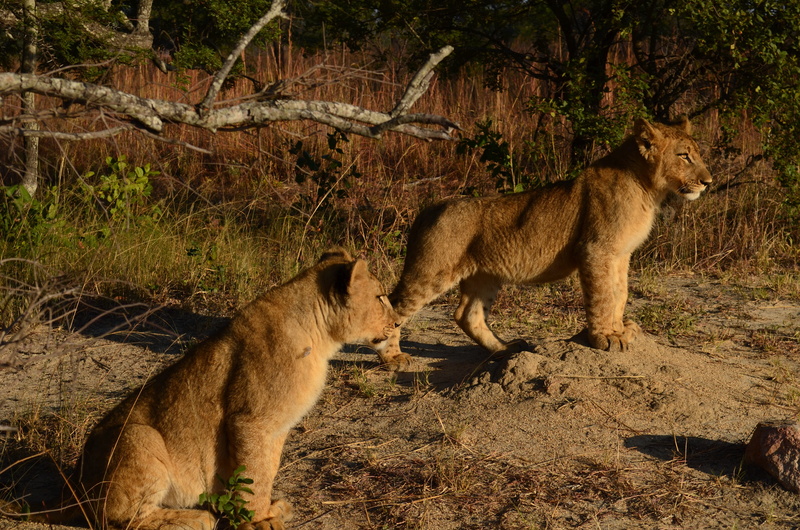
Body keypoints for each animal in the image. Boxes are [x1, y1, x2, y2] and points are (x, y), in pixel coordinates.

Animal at [50, 250, 398, 530]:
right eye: (380, 297)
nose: (397, 323)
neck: (321, 336)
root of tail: (73, 484)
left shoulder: (276, 428)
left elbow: (266, 470)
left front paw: (268, 508)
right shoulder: (249, 420)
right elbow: (254, 474)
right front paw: (258, 521)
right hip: (139, 435)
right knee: (120, 520)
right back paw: (199, 517)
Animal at [376, 118, 712, 369]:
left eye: (697, 153)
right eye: (684, 155)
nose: (708, 181)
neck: (647, 188)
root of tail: (429, 208)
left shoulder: (620, 254)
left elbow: (620, 293)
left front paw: (620, 330)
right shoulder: (596, 250)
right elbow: (603, 296)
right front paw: (603, 337)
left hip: (483, 275)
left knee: (467, 315)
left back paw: (507, 349)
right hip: (431, 272)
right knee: (392, 307)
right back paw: (393, 358)